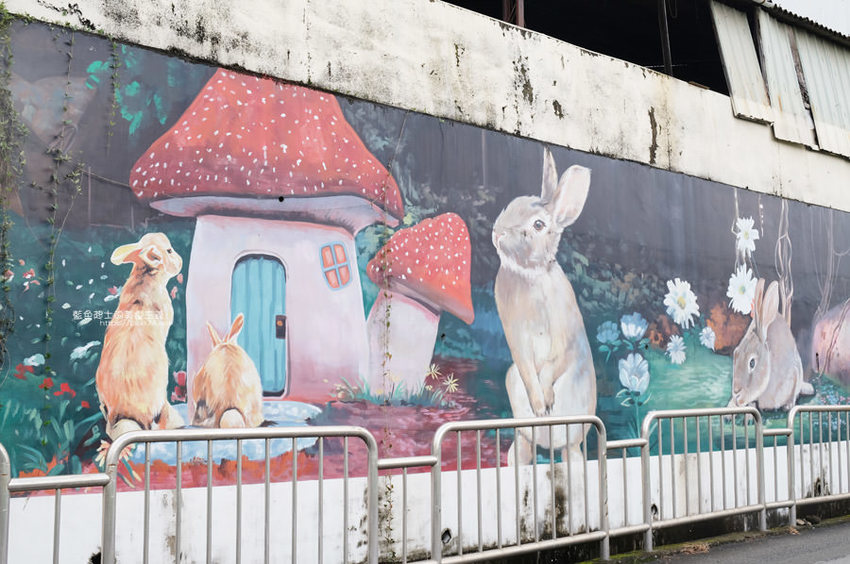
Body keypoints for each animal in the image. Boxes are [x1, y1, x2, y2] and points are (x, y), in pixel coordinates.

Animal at [492, 147, 597, 466]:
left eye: (538, 224)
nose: (497, 233)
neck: (531, 274)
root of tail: (546, 445)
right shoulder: (516, 338)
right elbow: (528, 368)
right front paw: (540, 407)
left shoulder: (564, 334)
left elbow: (552, 363)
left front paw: (546, 402)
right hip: (520, 422)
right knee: (523, 451)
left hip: (574, 433)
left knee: (570, 452)